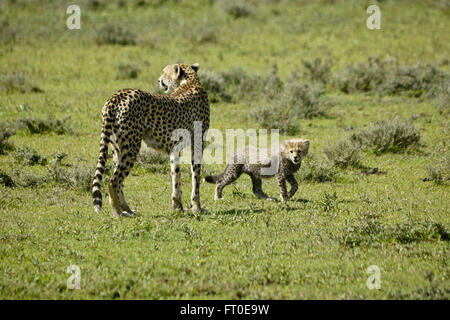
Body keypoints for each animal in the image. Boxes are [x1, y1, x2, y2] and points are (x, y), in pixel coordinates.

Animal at [92, 63, 211, 216]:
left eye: (164, 73)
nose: (159, 80)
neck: (189, 82)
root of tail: (117, 95)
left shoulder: (175, 149)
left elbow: (176, 176)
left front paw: (178, 206)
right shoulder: (197, 143)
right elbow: (195, 177)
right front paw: (197, 207)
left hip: (117, 148)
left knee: (118, 181)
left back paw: (127, 209)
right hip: (132, 148)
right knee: (114, 180)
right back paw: (118, 212)